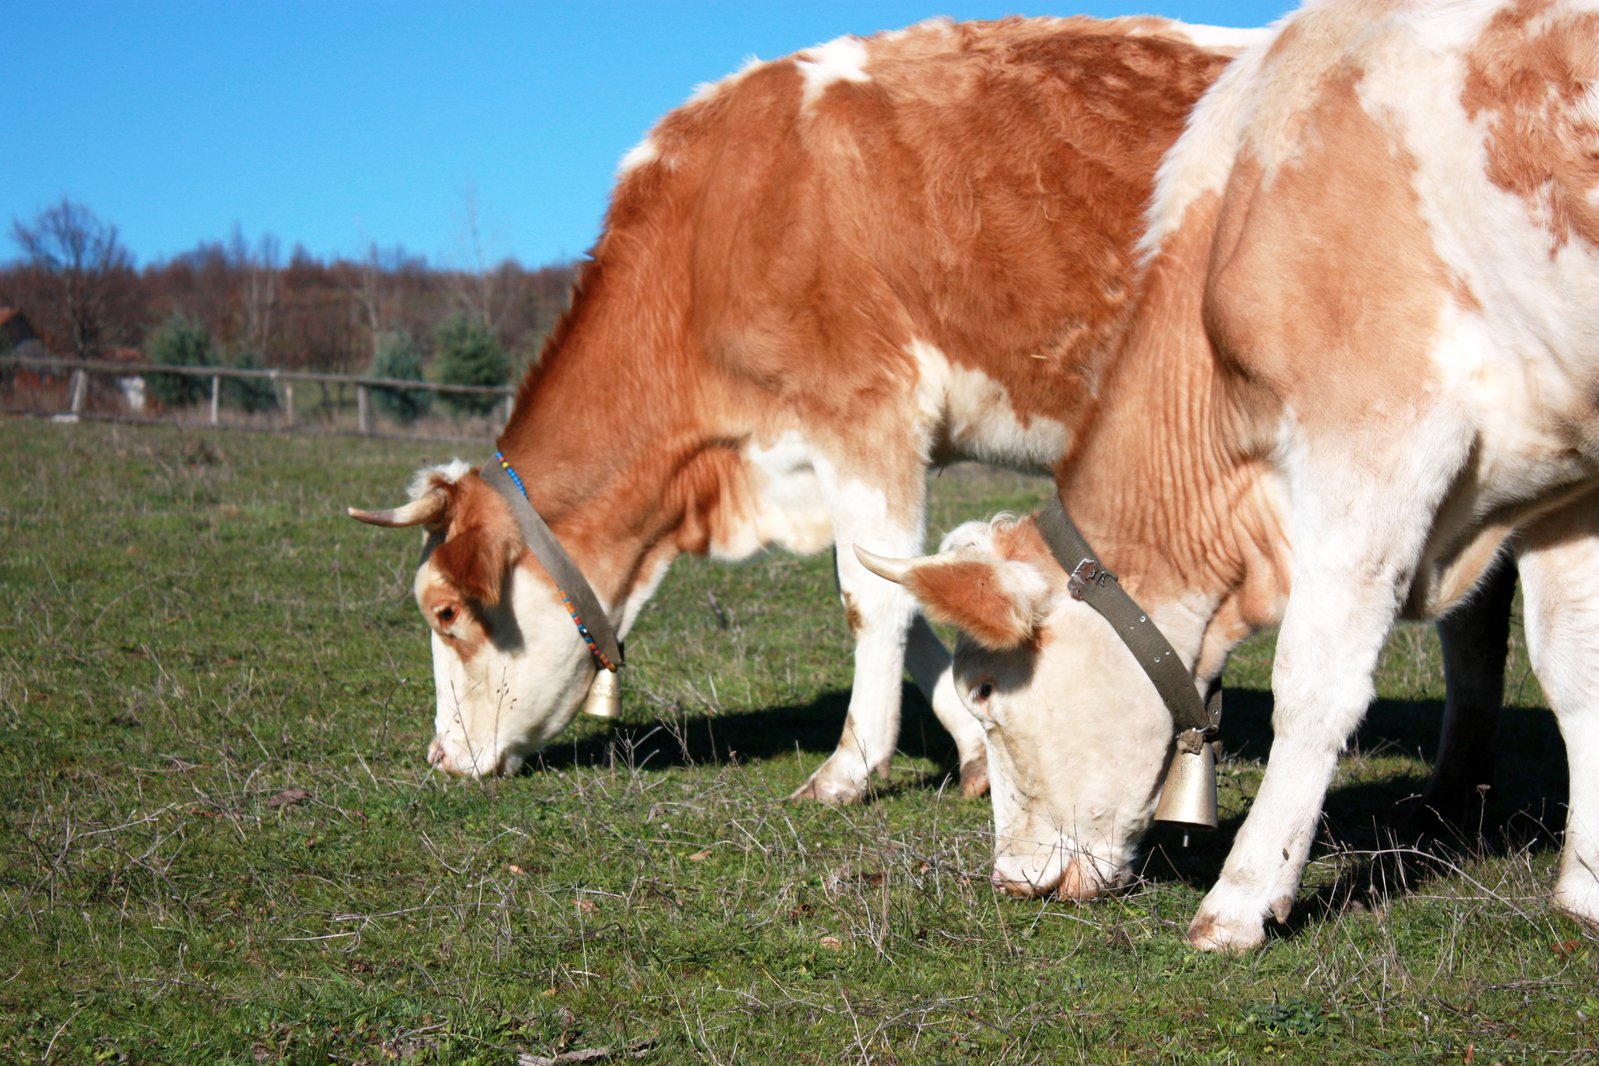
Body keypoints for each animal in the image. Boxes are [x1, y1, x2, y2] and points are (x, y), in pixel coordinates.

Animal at [863, 0, 1599, 952]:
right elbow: (1574, 668)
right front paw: (1585, 888)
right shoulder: (1564, 476)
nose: (1012, 882)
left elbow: (1313, 686)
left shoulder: (1378, 438)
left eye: (985, 692)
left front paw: (1241, 898)